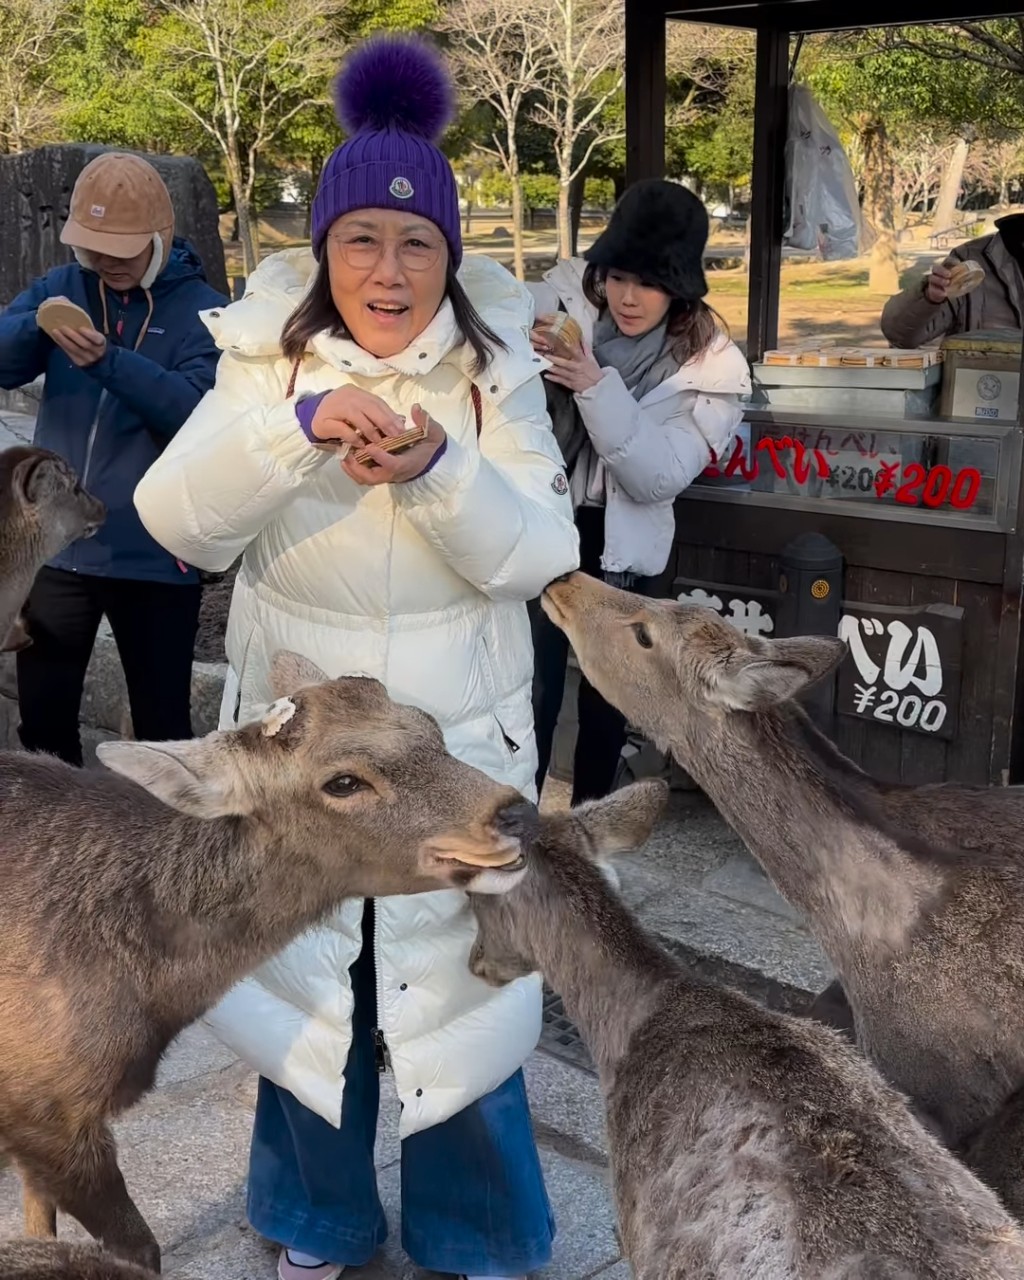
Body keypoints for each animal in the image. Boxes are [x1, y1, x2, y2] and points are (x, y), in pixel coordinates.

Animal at [0, 655, 532, 1274]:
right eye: (343, 781)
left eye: (430, 725)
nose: (516, 813)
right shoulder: (47, 1111)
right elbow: (136, 1249)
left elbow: (40, 1224)